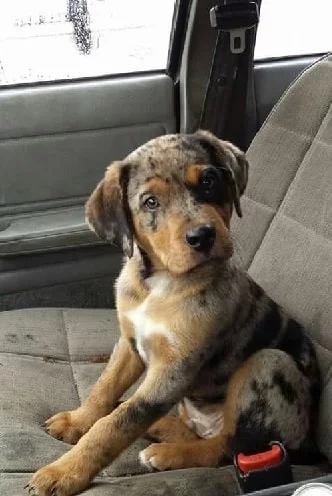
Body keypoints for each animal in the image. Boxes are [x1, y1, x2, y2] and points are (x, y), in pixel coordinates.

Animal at [29, 132, 322, 496]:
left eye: (209, 181)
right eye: (150, 202)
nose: (203, 236)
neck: (162, 282)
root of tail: (310, 445)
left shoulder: (174, 368)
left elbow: (117, 423)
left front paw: (64, 471)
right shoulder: (129, 342)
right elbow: (105, 389)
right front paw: (78, 420)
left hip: (269, 364)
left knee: (227, 446)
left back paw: (167, 453)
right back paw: (162, 430)